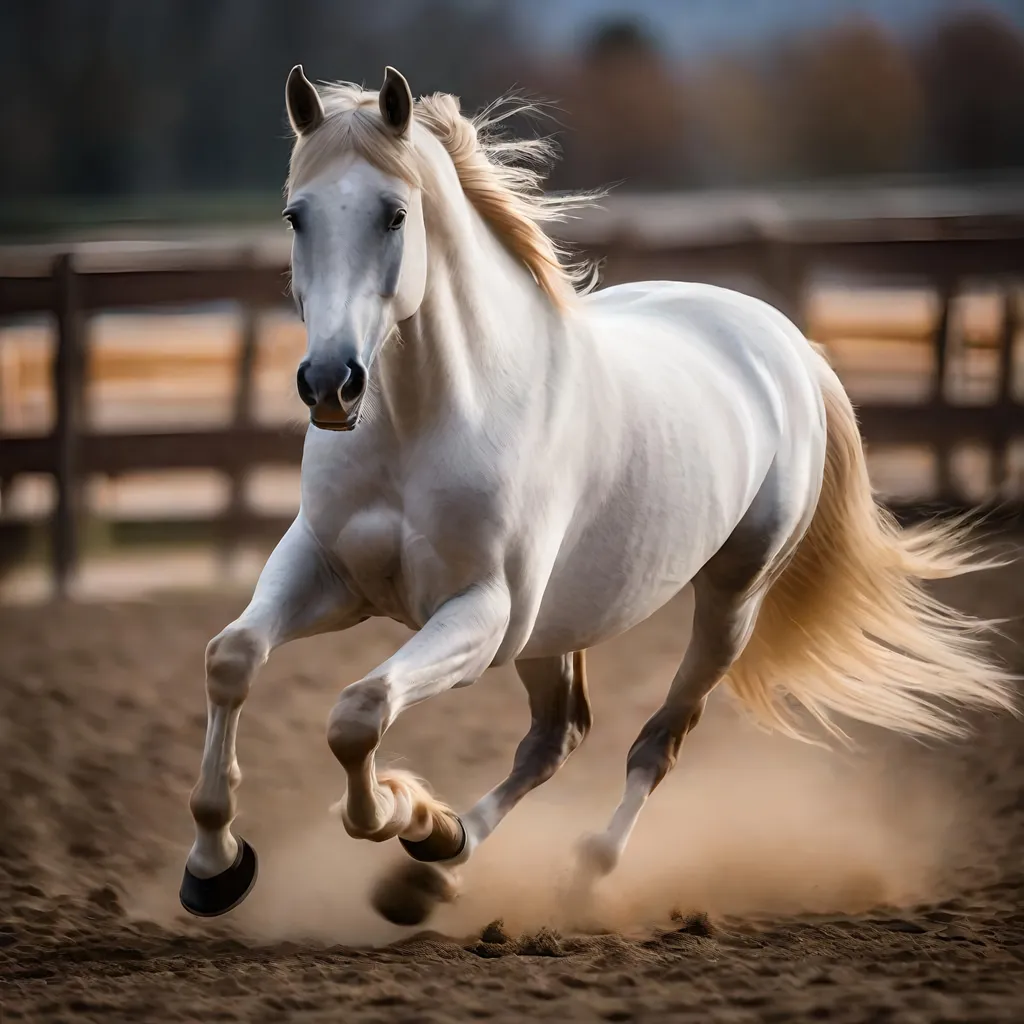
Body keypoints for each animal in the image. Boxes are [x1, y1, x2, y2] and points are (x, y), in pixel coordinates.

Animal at [180, 66, 1011, 921]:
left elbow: (359, 713)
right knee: (555, 738)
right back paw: (436, 865)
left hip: (726, 602)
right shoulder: (327, 571)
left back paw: (571, 868)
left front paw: (401, 809)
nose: (330, 383)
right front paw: (216, 866)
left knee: (656, 740)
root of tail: (787, 343)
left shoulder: (484, 613)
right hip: (555, 631)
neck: (426, 421)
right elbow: (232, 658)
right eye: (296, 215)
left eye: (394, 214)